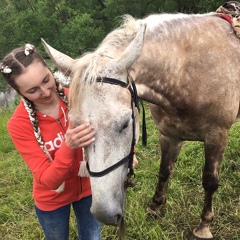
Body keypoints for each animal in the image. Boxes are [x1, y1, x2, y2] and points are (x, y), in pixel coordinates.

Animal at [39, 11, 240, 240]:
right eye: (75, 126)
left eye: (126, 123)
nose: (103, 213)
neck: (188, 71)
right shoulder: (169, 135)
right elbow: (164, 171)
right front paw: (155, 207)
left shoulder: (217, 136)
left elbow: (209, 181)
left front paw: (203, 226)